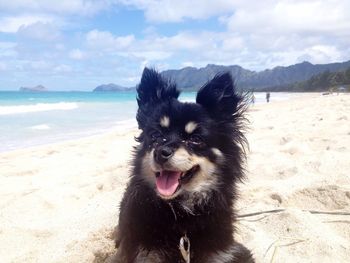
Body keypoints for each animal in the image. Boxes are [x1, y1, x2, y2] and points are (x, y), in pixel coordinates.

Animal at [113, 68, 253, 263]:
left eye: (195, 139)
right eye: (155, 135)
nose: (161, 152)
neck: (181, 214)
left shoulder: (222, 252)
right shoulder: (145, 253)